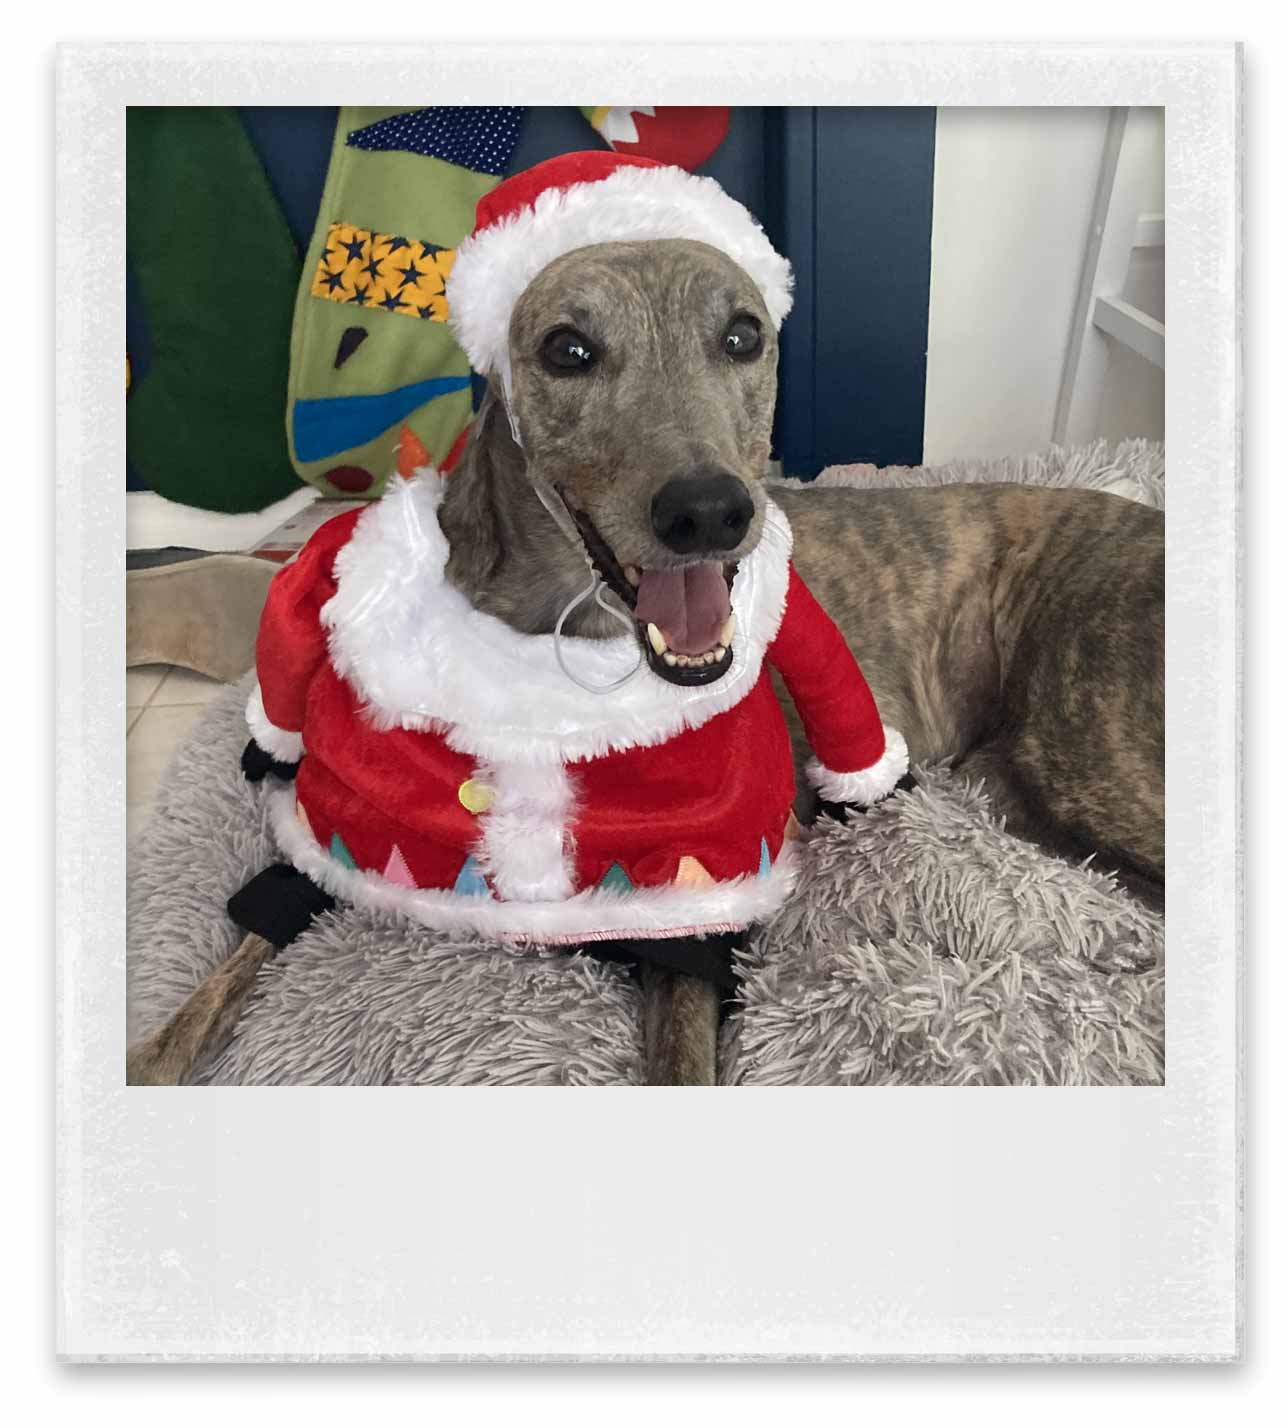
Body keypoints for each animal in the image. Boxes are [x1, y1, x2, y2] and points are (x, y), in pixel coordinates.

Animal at [131, 234, 1170, 1085]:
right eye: (568, 349)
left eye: (744, 336)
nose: (711, 513)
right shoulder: (345, 846)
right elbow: (222, 975)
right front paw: (156, 1051)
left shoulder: (697, 915)